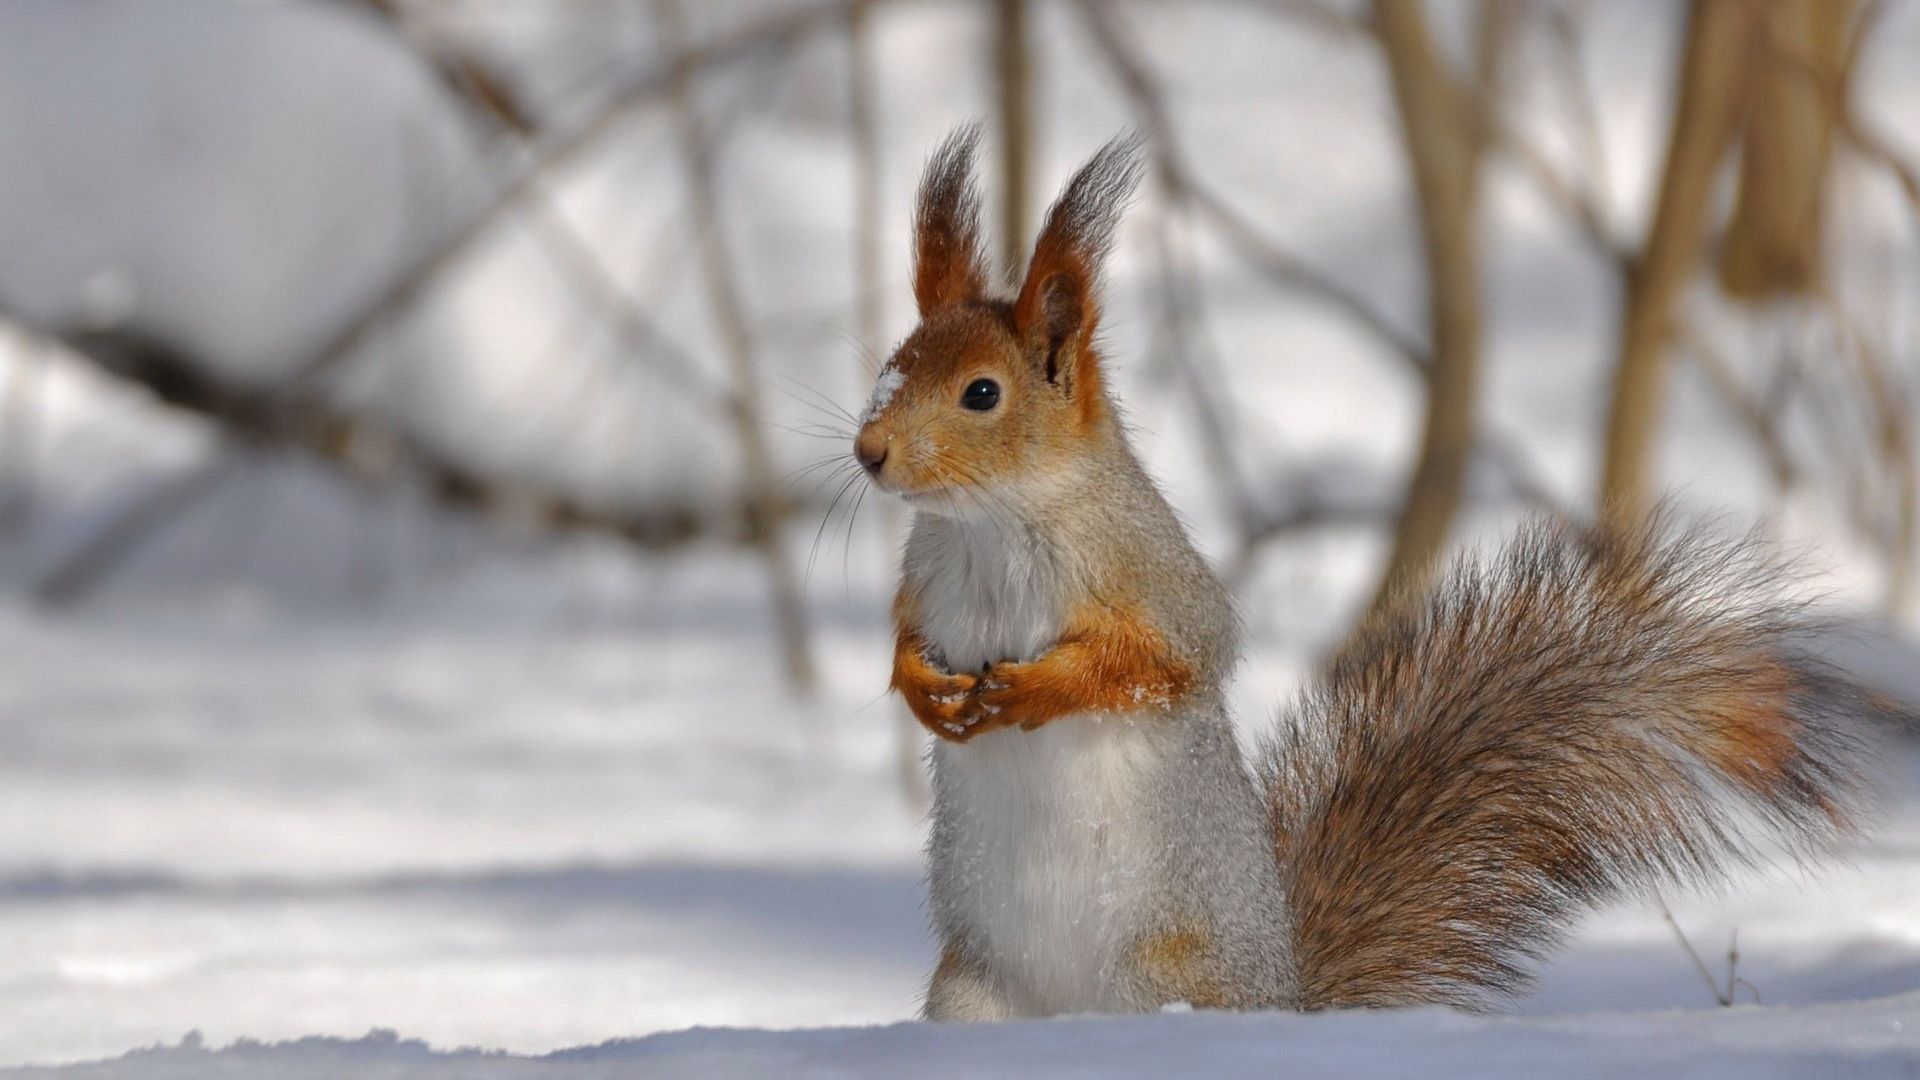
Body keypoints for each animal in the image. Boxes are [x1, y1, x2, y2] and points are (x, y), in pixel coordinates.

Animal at [851, 127, 1880, 1020]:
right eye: (890, 366)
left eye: (983, 393)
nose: (869, 452)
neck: (991, 525)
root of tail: (1286, 1001)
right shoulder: (925, 576)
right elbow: (904, 638)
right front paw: (921, 688)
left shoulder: (1152, 576)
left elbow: (1166, 661)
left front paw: (1032, 690)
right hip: (973, 991)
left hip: (1159, 973)